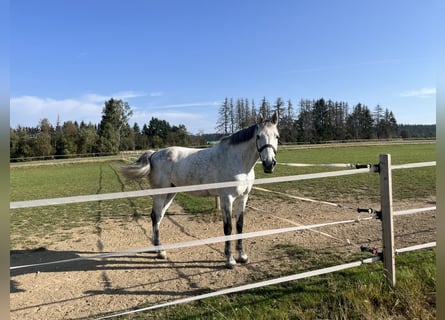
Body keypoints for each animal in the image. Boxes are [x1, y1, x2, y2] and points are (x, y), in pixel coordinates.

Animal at [119, 112, 278, 268]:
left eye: (277, 136)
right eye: (258, 136)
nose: (269, 164)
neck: (237, 161)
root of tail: (154, 154)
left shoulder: (243, 197)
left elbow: (240, 226)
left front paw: (243, 257)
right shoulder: (227, 198)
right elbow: (228, 227)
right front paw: (230, 260)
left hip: (170, 193)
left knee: (159, 217)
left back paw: (157, 248)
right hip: (160, 194)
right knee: (155, 216)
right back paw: (160, 252)